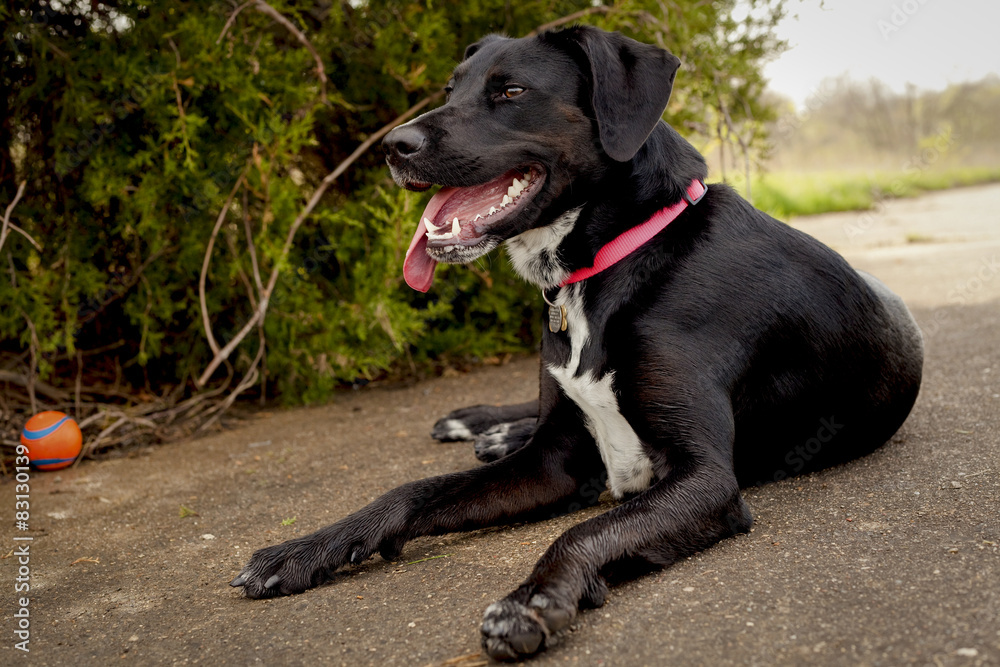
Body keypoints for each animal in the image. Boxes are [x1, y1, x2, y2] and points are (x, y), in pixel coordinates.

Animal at [232, 27, 920, 664]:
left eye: (511, 92)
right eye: (451, 90)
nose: (392, 147)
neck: (617, 259)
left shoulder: (706, 481)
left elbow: (584, 532)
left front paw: (531, 602)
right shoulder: (552, 461)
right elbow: (413, 491)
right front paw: (304, 549)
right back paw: (482, 423)